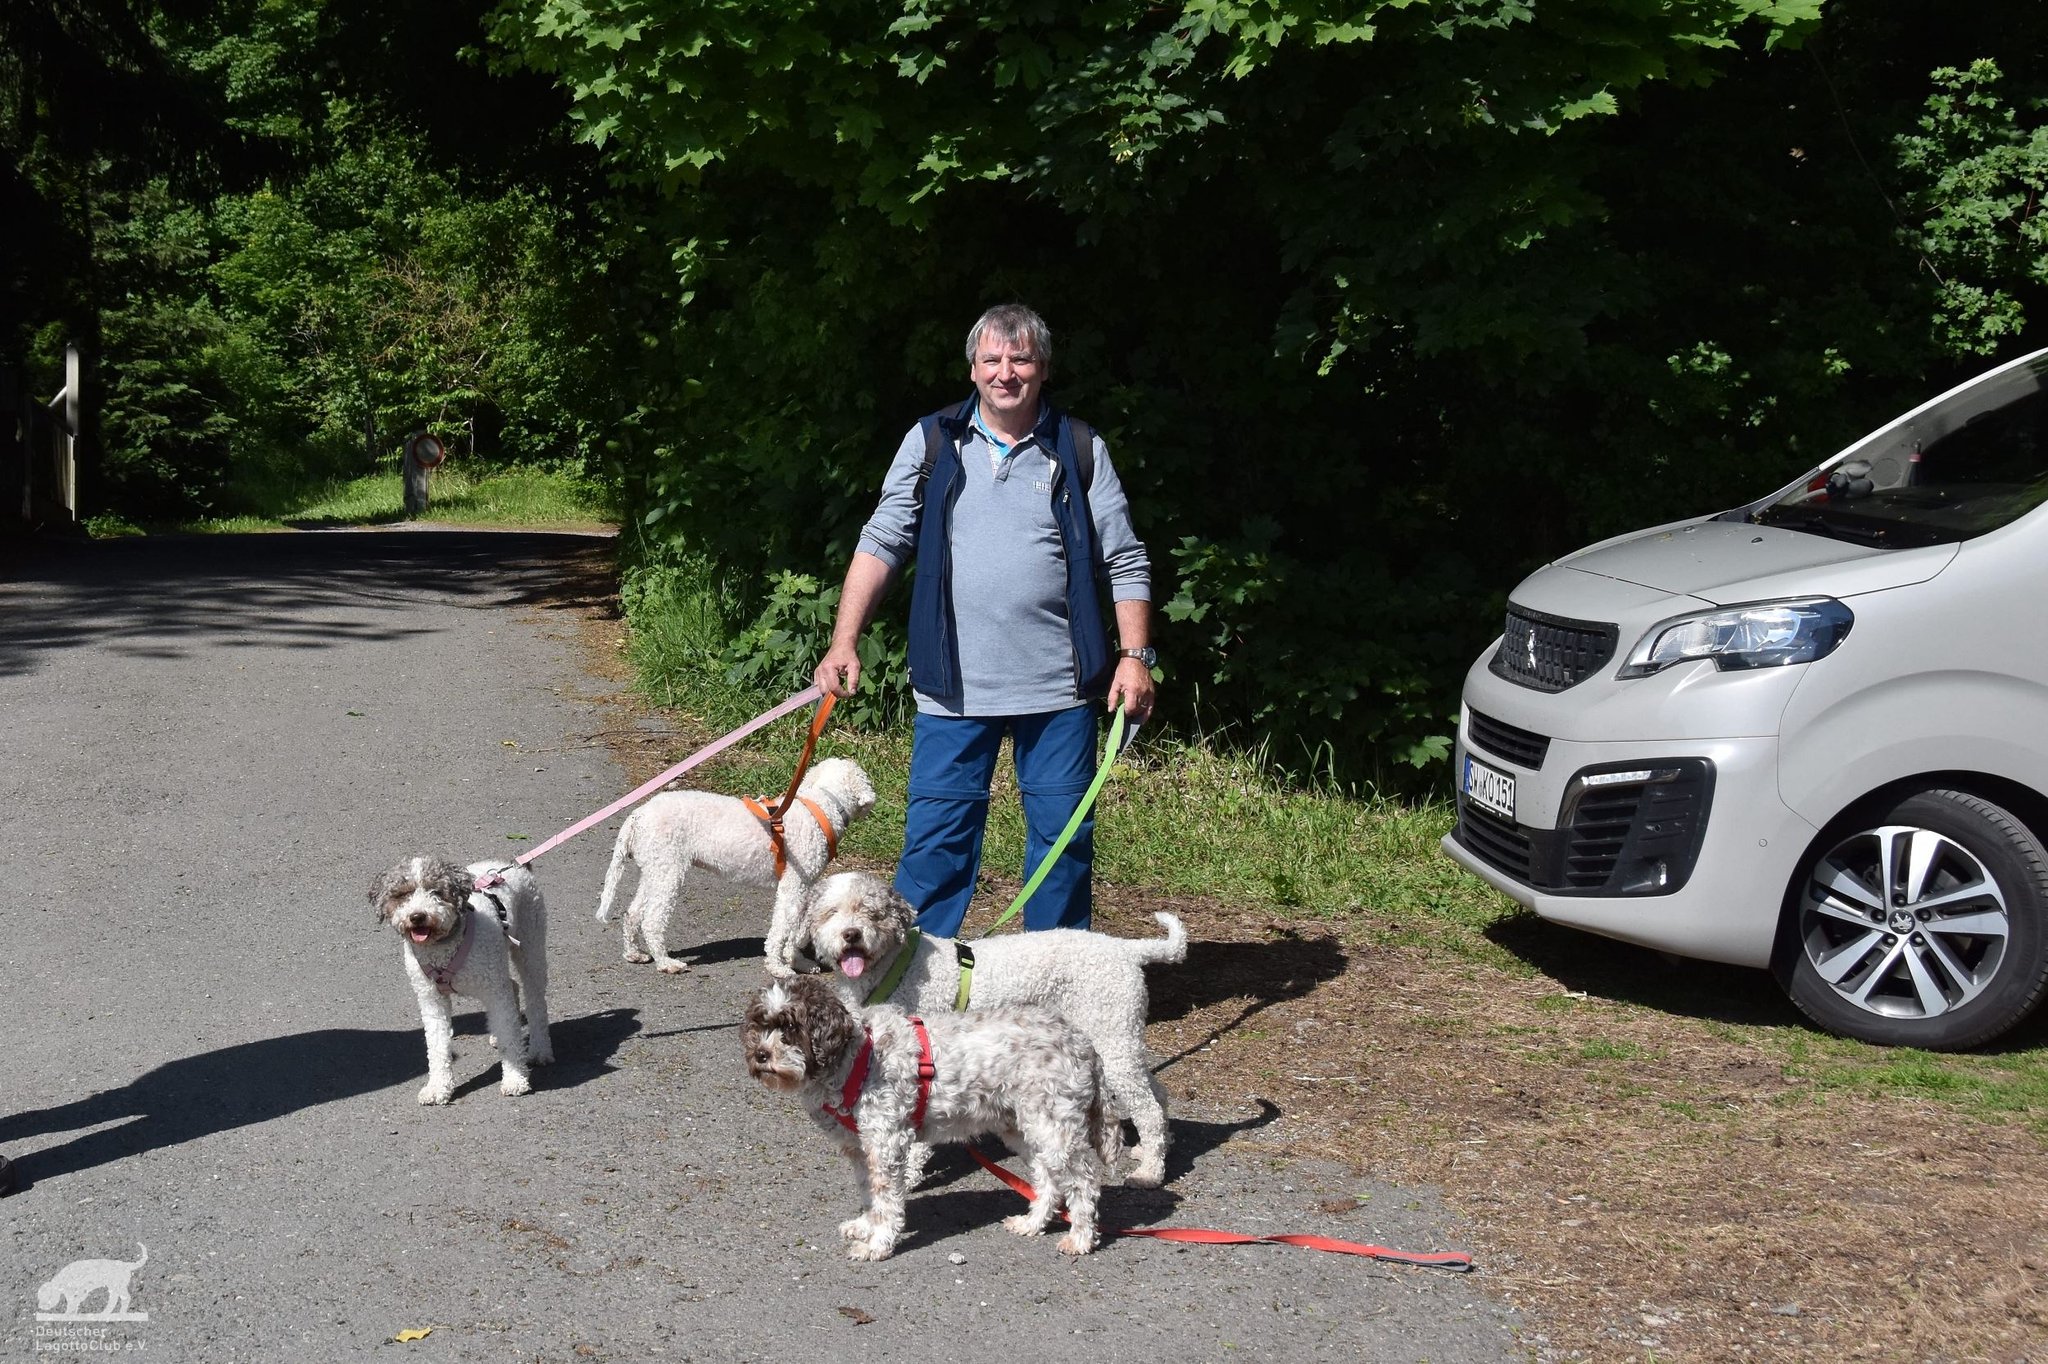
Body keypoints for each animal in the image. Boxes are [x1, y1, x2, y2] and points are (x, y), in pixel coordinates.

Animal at [369, 856, 552, 1104]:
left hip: (530, 945)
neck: (445, 947)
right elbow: (437, 1045)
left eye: (436, 891)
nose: (417, 916)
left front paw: (515, 1080)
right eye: (402, 894)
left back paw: (540, 1049)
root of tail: (516, 865)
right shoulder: (431, 999)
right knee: (512, 987)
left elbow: (510, 1037)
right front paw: (438, 1087)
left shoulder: (494, 991)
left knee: (535, 1001)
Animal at [595, 756, 876, 976]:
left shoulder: (802, 889)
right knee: (652, 920)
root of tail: (638, 815)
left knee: (633, 913)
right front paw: (779, 967)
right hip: (668, 872)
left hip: (655, 870)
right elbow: (781, 929)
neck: (822, 804)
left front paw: (799, 962)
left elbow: (794, 930)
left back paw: (634, 954)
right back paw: (667, 963)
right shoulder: (794, 885)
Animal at [744, 974, 1120, 1259]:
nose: (760, 1055)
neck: (856, 1059)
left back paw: (1081, 1238)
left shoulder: (887, 1144)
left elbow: (887, 1201)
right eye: (760, 1025)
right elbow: (869, 1194)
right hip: (1023, 1128)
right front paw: (866, 1226)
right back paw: (1032, 1223)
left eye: (790, 1028)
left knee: (1084, 1182)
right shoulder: (861, 1149)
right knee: (1047, 1177)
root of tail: (1081, 1041)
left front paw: (878, 1244)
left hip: (1055, 1127)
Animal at [794, 869, 1186, 1187]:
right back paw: (1153, 1148)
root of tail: (1126, 950)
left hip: (1112, 1036)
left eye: (871, 912)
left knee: (1148, 1107)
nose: (852, 935)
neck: (896, 966)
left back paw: (1150, 1172)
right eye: (831, 913)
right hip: (1122, 1037)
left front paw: (909, 1175)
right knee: (1157, 1092)